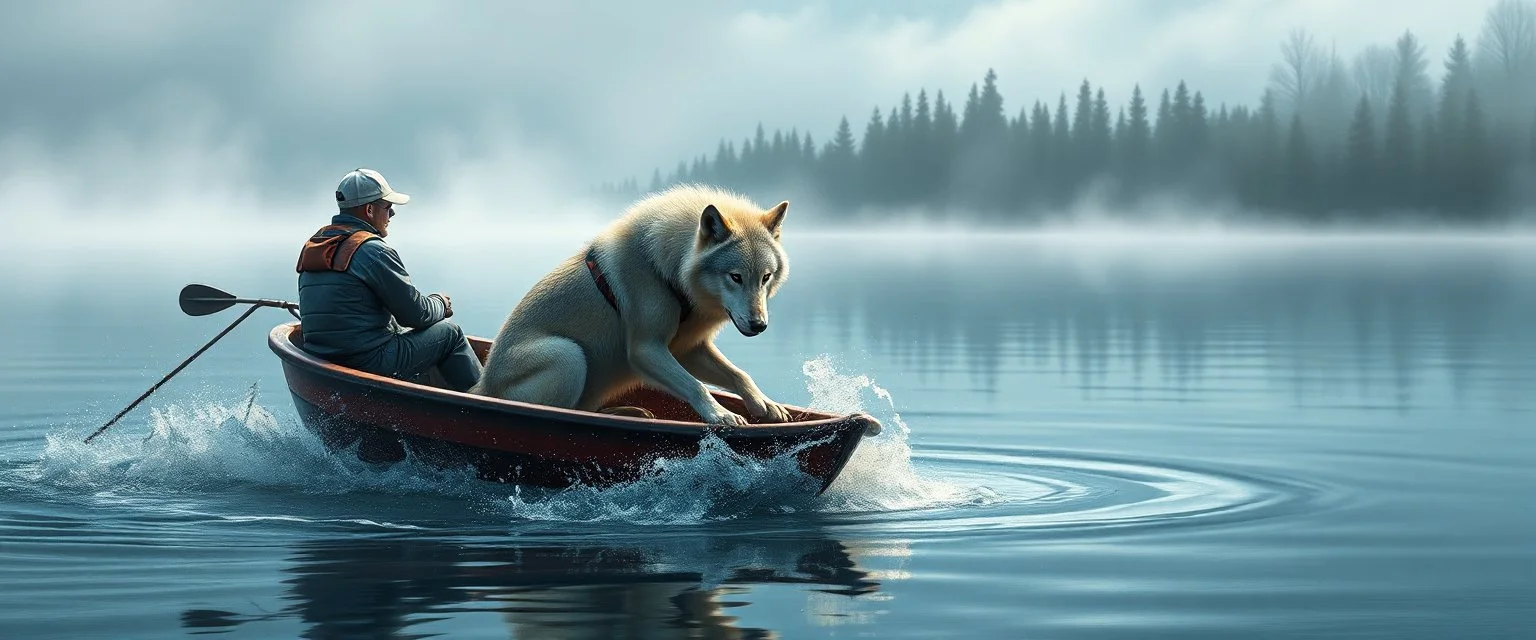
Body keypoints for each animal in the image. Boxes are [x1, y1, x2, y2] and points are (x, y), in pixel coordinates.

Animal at [469, 184, 793, 427]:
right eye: (735, 277)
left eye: (765, 277)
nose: (759, 325)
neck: (666, 268)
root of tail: (483, 387)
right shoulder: (645, 349)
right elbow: (695, 385)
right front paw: (720, 413)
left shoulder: (688, 349)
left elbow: (739, 374)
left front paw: (765, 404)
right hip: (568, 355)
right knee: (566, 410)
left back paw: (630, 412)